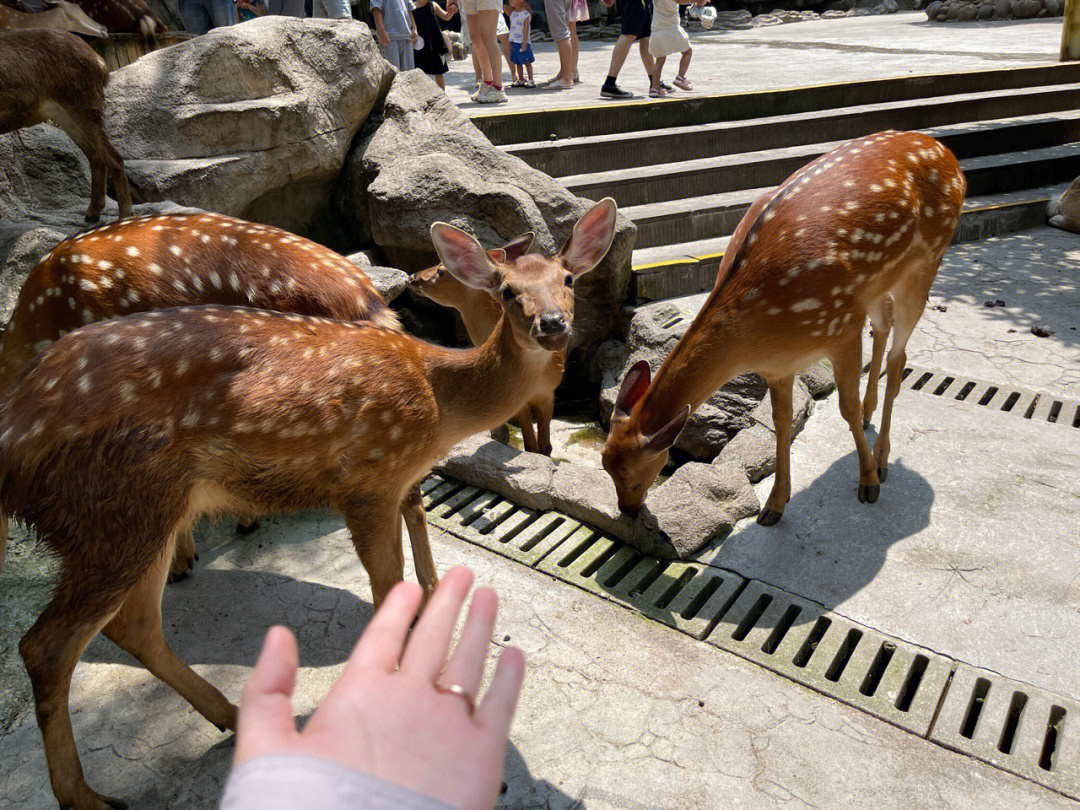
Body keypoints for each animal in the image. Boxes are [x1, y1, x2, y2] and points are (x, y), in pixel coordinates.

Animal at [0, 30, 133, 223]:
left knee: (113, 156)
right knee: (96, 156)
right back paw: (93, 212)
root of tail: (99, 61)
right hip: (65, 115)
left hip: (84, 105)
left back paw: (124, 216)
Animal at [604, 131, 967, 527]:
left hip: (927, 259)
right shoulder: (778, 365)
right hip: (878, 282)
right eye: (605, 465)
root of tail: (947, 153)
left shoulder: (842, 324)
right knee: (883, 323)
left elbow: (846, 409)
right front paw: (774, 505)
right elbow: (780, 423)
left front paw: (868, 482)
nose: (627, 510)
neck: (758, 333)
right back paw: (873, 419)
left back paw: (884, 457)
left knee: (899, 357)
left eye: (633, 474)